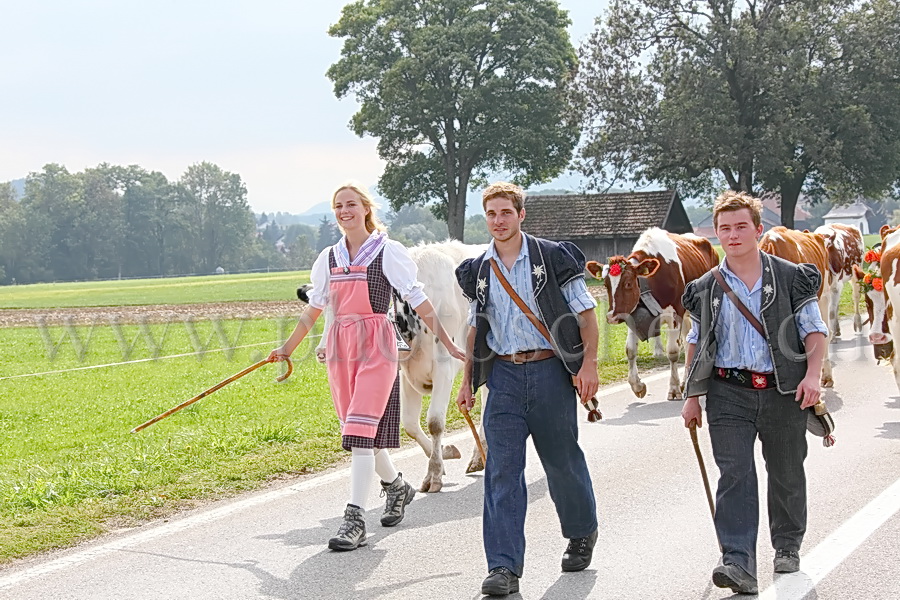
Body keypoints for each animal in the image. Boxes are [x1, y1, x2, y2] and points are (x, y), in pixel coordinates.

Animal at [588, 230, 720, 404]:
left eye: (628, 283)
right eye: (606, 285)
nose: (612, 317)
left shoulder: (675, 315)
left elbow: (673, 352)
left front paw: (673, 389)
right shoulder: (632, 315)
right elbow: (630, 350)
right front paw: (637, 386)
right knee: (687, 340)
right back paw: (685, 381)